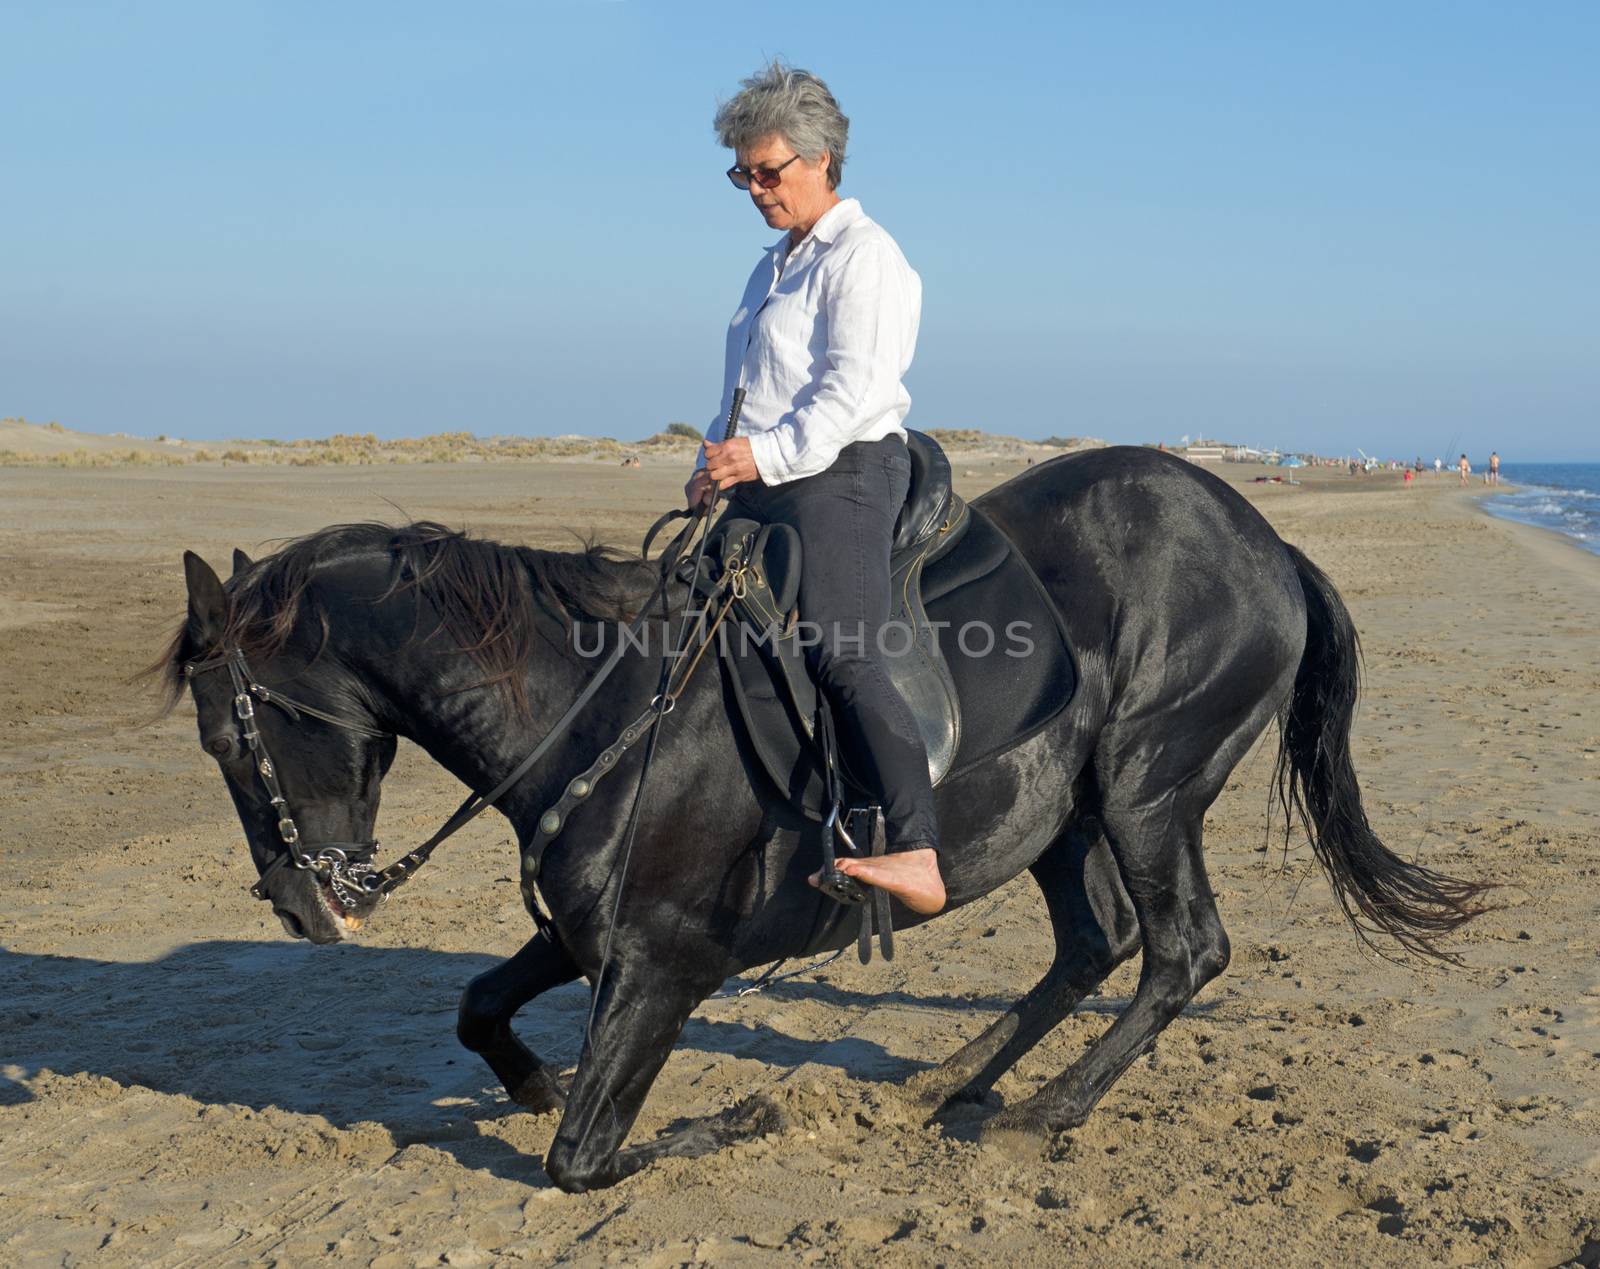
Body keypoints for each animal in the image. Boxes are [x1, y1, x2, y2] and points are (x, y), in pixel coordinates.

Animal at [156, 451, 1478, 1190]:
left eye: (226, 737)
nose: (299, 907)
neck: (602, 704)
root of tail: (1265, 539)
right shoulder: (593, 937)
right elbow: (481, 1007)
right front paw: (530, 1078)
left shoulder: (666, 960)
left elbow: (583, 1159)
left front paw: (744, 1113)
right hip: (1064, 818)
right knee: (1092, 945)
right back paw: (946, 1079)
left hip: (1148, 787)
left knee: (1181, 949)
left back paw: (1039, 1111)